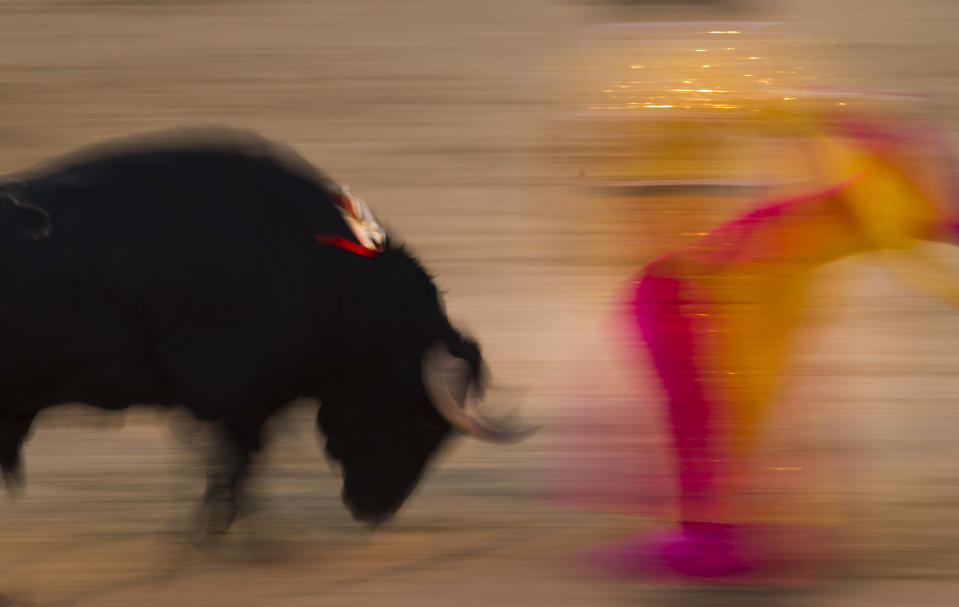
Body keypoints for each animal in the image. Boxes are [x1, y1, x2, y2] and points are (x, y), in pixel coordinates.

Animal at [0, 128, 528, 532]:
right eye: (421, 423)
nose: (376, 512)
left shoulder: (245, 405)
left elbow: (237, 469)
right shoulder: (237, 401)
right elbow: (235, 468)